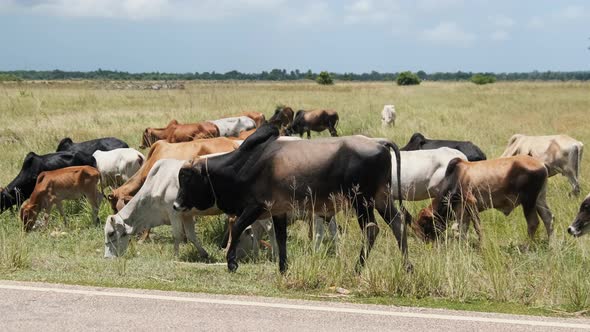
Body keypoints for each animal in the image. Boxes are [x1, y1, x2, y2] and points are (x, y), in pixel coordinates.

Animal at [173, 124, 410, 274]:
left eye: (187, 178)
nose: (176, 204)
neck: (241, 164)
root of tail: (378, 143)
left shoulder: (255, 206)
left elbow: (238, 227)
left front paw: (231, 263)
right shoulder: (279, 211)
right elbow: (281, 238)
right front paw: (283, 267)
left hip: (361, 201)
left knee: (371, 230)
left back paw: (358, 268)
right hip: (381, 198)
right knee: (398, 223)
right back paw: (407, 267)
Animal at [412, 156, 556, 244]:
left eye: (424, 223)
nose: (426, 242)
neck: (454, 180)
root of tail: (541, 165)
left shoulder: (471, 203)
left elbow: (477, 228)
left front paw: (482, 246)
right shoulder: (463, 211)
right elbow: (462, 230)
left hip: (528, 201)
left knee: (533, 223)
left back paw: (526, 247)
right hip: (539, 199)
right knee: (548, 219)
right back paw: (552, 245)